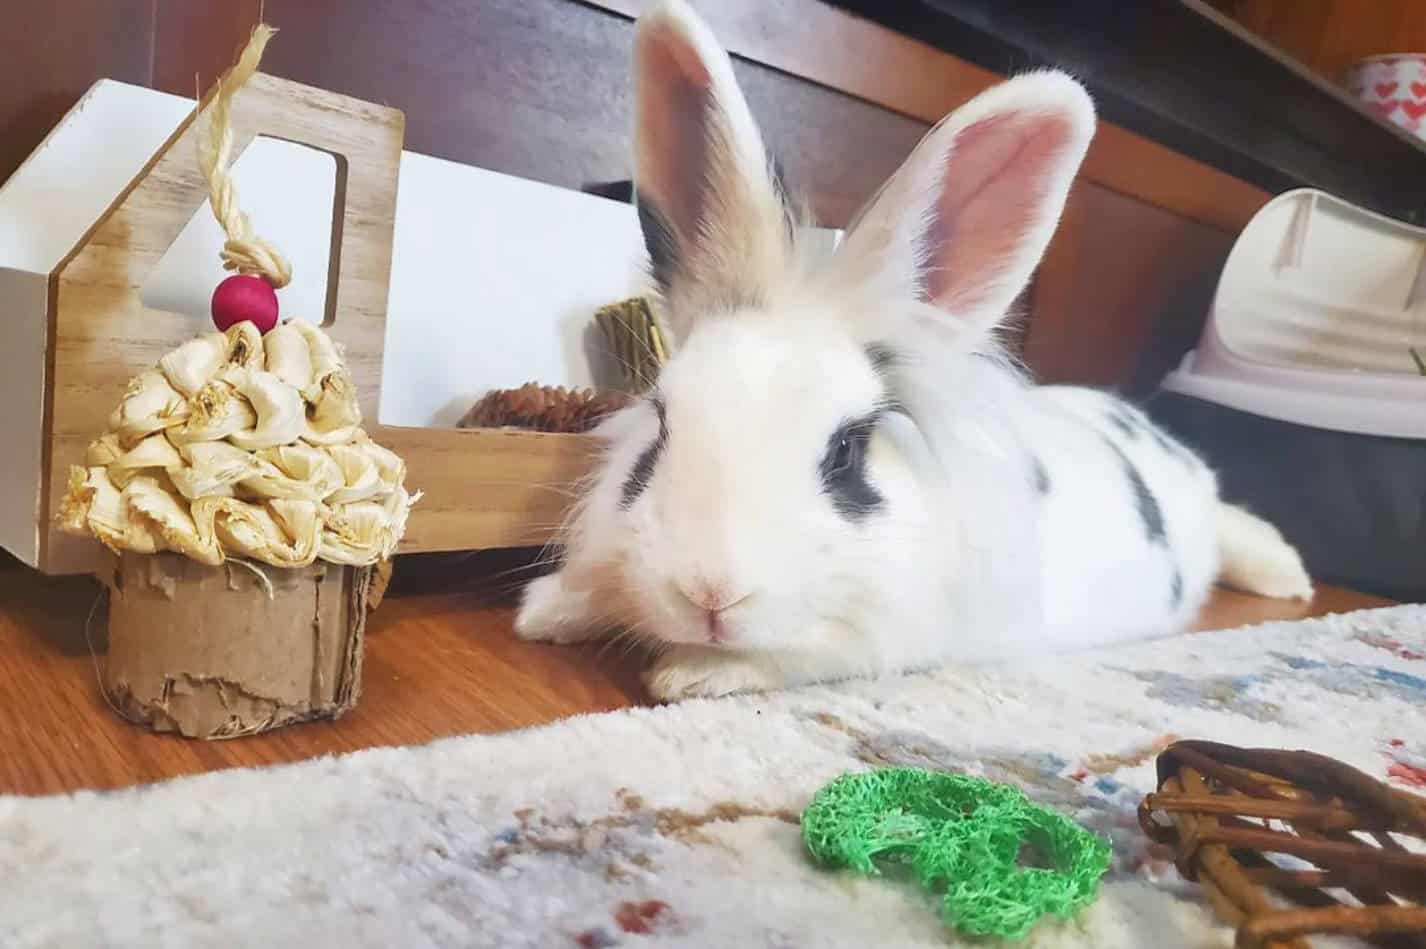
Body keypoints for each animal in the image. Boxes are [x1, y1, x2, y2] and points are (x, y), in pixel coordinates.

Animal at [510, 0, 1306, 696]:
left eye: (845, 453)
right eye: (661, 425)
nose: (710, 592)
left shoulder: (881, 637)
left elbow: (791, 656)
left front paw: (691, 672)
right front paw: (547, 610)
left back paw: (1288, 578)